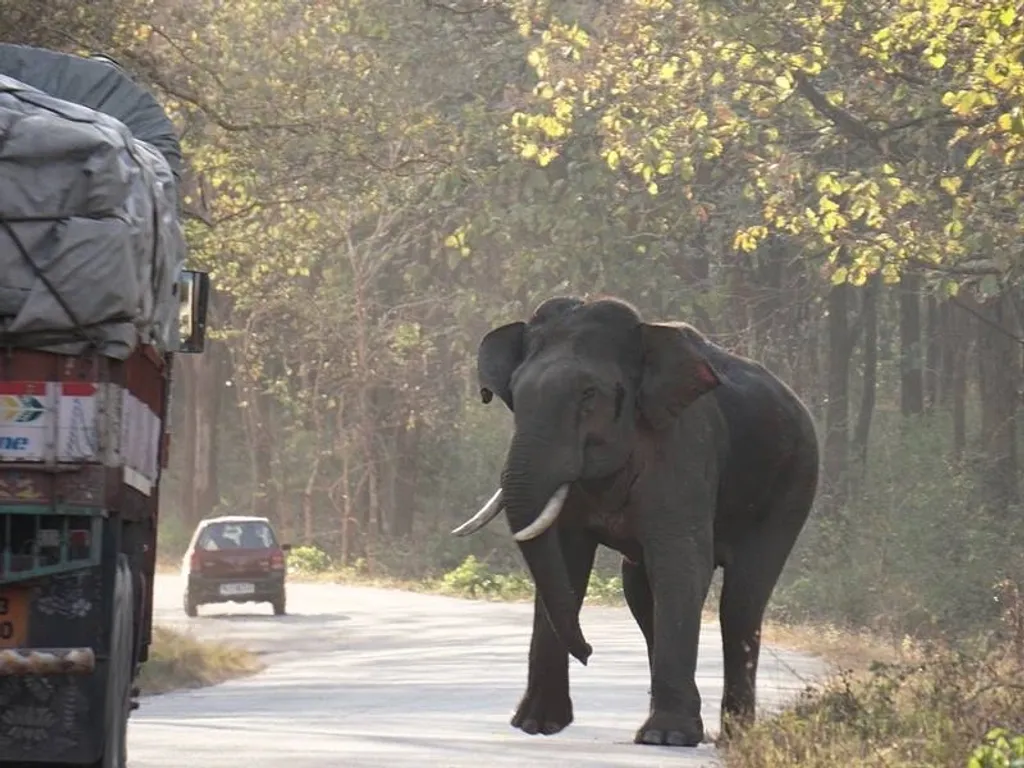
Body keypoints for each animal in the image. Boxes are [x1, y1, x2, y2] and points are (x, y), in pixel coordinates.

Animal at [452, 294, 819, 745]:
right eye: (515, 396)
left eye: (589, 393)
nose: (590, 652)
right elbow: (566, 562)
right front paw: (535, 726)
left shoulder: (683, 448)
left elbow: (681, 566)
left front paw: (667, 737)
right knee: (641, 592)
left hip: (793, 487)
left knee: (741, 600)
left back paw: (734, 736)